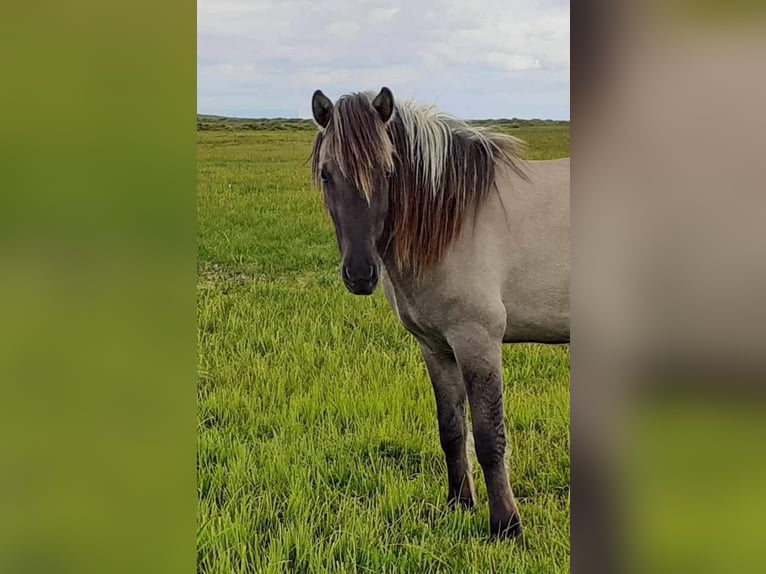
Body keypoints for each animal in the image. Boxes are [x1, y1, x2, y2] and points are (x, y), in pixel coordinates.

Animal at [310, 86, 568, 540]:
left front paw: (506, 525)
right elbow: (451, 428)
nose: (360, 274)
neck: (454, 222)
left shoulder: (477, 342)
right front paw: (459, 504)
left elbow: (488, 435)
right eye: (326, 174)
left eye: (388, 171)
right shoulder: (436, 347)